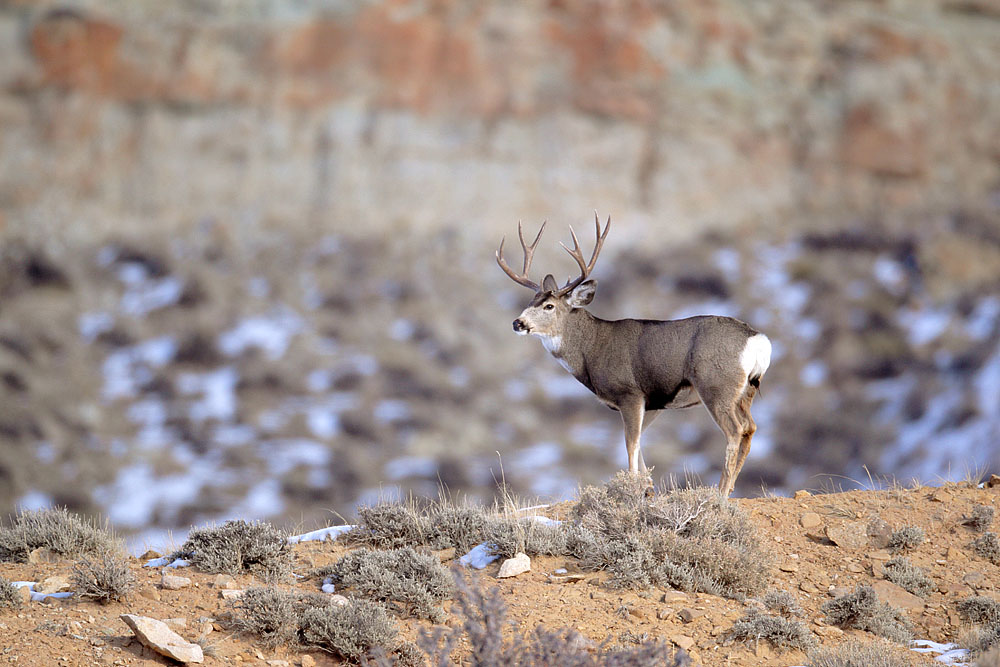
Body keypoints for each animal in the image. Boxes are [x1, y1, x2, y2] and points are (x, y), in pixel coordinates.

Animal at [496, 215, 771, 496]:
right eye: (530, 302)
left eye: (549, 306)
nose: (518, 323)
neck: (592, 348)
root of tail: (757, 339)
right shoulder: (653, 402)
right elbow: (639, 443)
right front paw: (648, 488)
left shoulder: (629, 392)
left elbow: (630, 443)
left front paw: (631, 489)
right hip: (745, 391)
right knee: (750, 427)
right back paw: (729, 488)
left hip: (716, 385)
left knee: (735, 430)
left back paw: (721, 493)